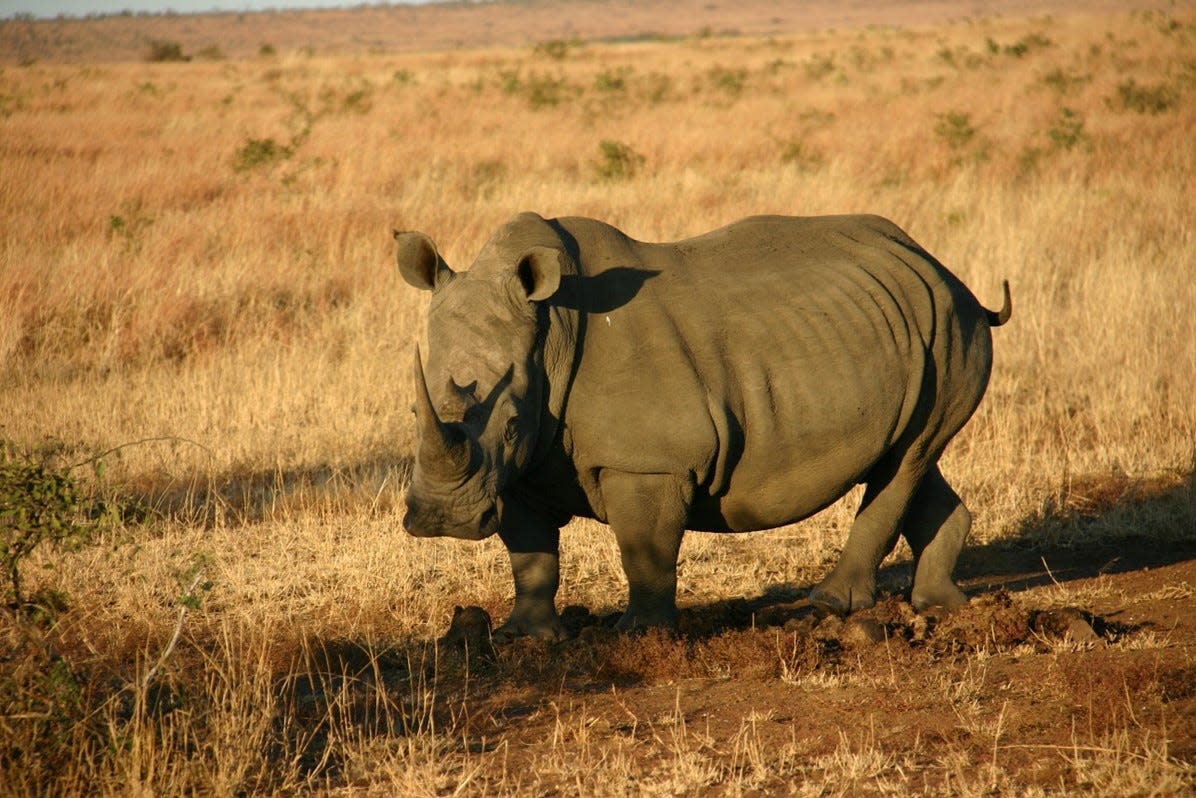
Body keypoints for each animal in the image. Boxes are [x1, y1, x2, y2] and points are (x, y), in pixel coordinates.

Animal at [399, 209, 1009, 641]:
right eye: (412, 413)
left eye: (508, 424)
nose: (440, 520)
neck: (551, 331)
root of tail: (944, 270)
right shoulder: (521, 466)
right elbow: (529, 554)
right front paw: (524, 636)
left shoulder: (648, 460)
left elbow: (643, 547)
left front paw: (640, 636)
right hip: (912, 328)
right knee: (912, 456)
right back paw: (940, 605)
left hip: (950, 325)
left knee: (906, 460)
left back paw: (829, 606)